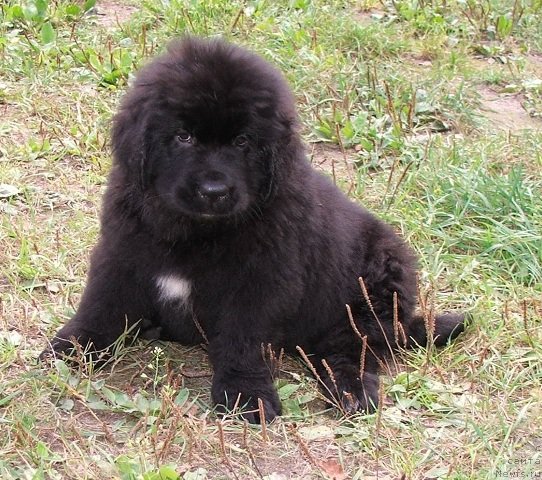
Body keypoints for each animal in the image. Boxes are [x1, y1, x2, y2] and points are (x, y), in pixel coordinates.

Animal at [41, 37, 468, 422]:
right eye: (183, 136)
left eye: (243, 141)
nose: (214, 191)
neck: (197, 233)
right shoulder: (122, 252)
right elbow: (101, 306)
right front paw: (71, 350)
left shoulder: (258, 284)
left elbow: (242, 342)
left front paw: (245, 396)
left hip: (376, 283)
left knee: (352, 350)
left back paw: (352, 393)